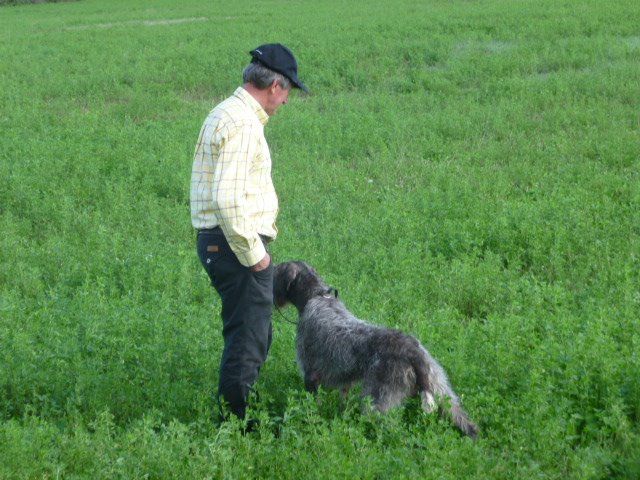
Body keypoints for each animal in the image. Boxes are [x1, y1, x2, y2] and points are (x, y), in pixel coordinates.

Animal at [272, 260, 478, 440]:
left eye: (278, 271)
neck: (316, 296)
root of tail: (413, 352)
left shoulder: (310, 375)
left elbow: (314, 404)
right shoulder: (345, 381)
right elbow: (343, 401)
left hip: (378, 401)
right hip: (442, 389)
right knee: (466, 422)